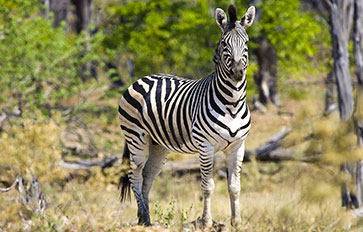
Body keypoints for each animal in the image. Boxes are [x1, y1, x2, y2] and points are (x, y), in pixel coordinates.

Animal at [118, 4, 255, 227]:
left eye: (246, 42)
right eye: (224, 43)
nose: (236, 72)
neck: (232, 104)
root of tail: (142, 78)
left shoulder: (238, 146)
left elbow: (235, 187)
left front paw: (236, 222)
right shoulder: (205, 146)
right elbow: (208, 186)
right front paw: (206, 221)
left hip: (159, 144)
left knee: (147, 176)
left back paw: (146, 218)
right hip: (135, 137)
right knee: (135, 175)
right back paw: (143, 217)